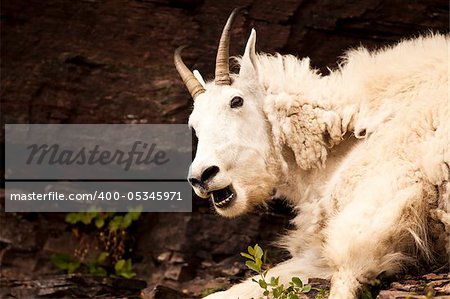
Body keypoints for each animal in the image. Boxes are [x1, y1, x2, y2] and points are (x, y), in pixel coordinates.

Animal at [174, 9, 448, 299]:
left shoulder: (387, 198)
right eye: (193, 124)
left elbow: (345, 278)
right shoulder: (318, 253)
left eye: (236, 101)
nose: (202, 176)